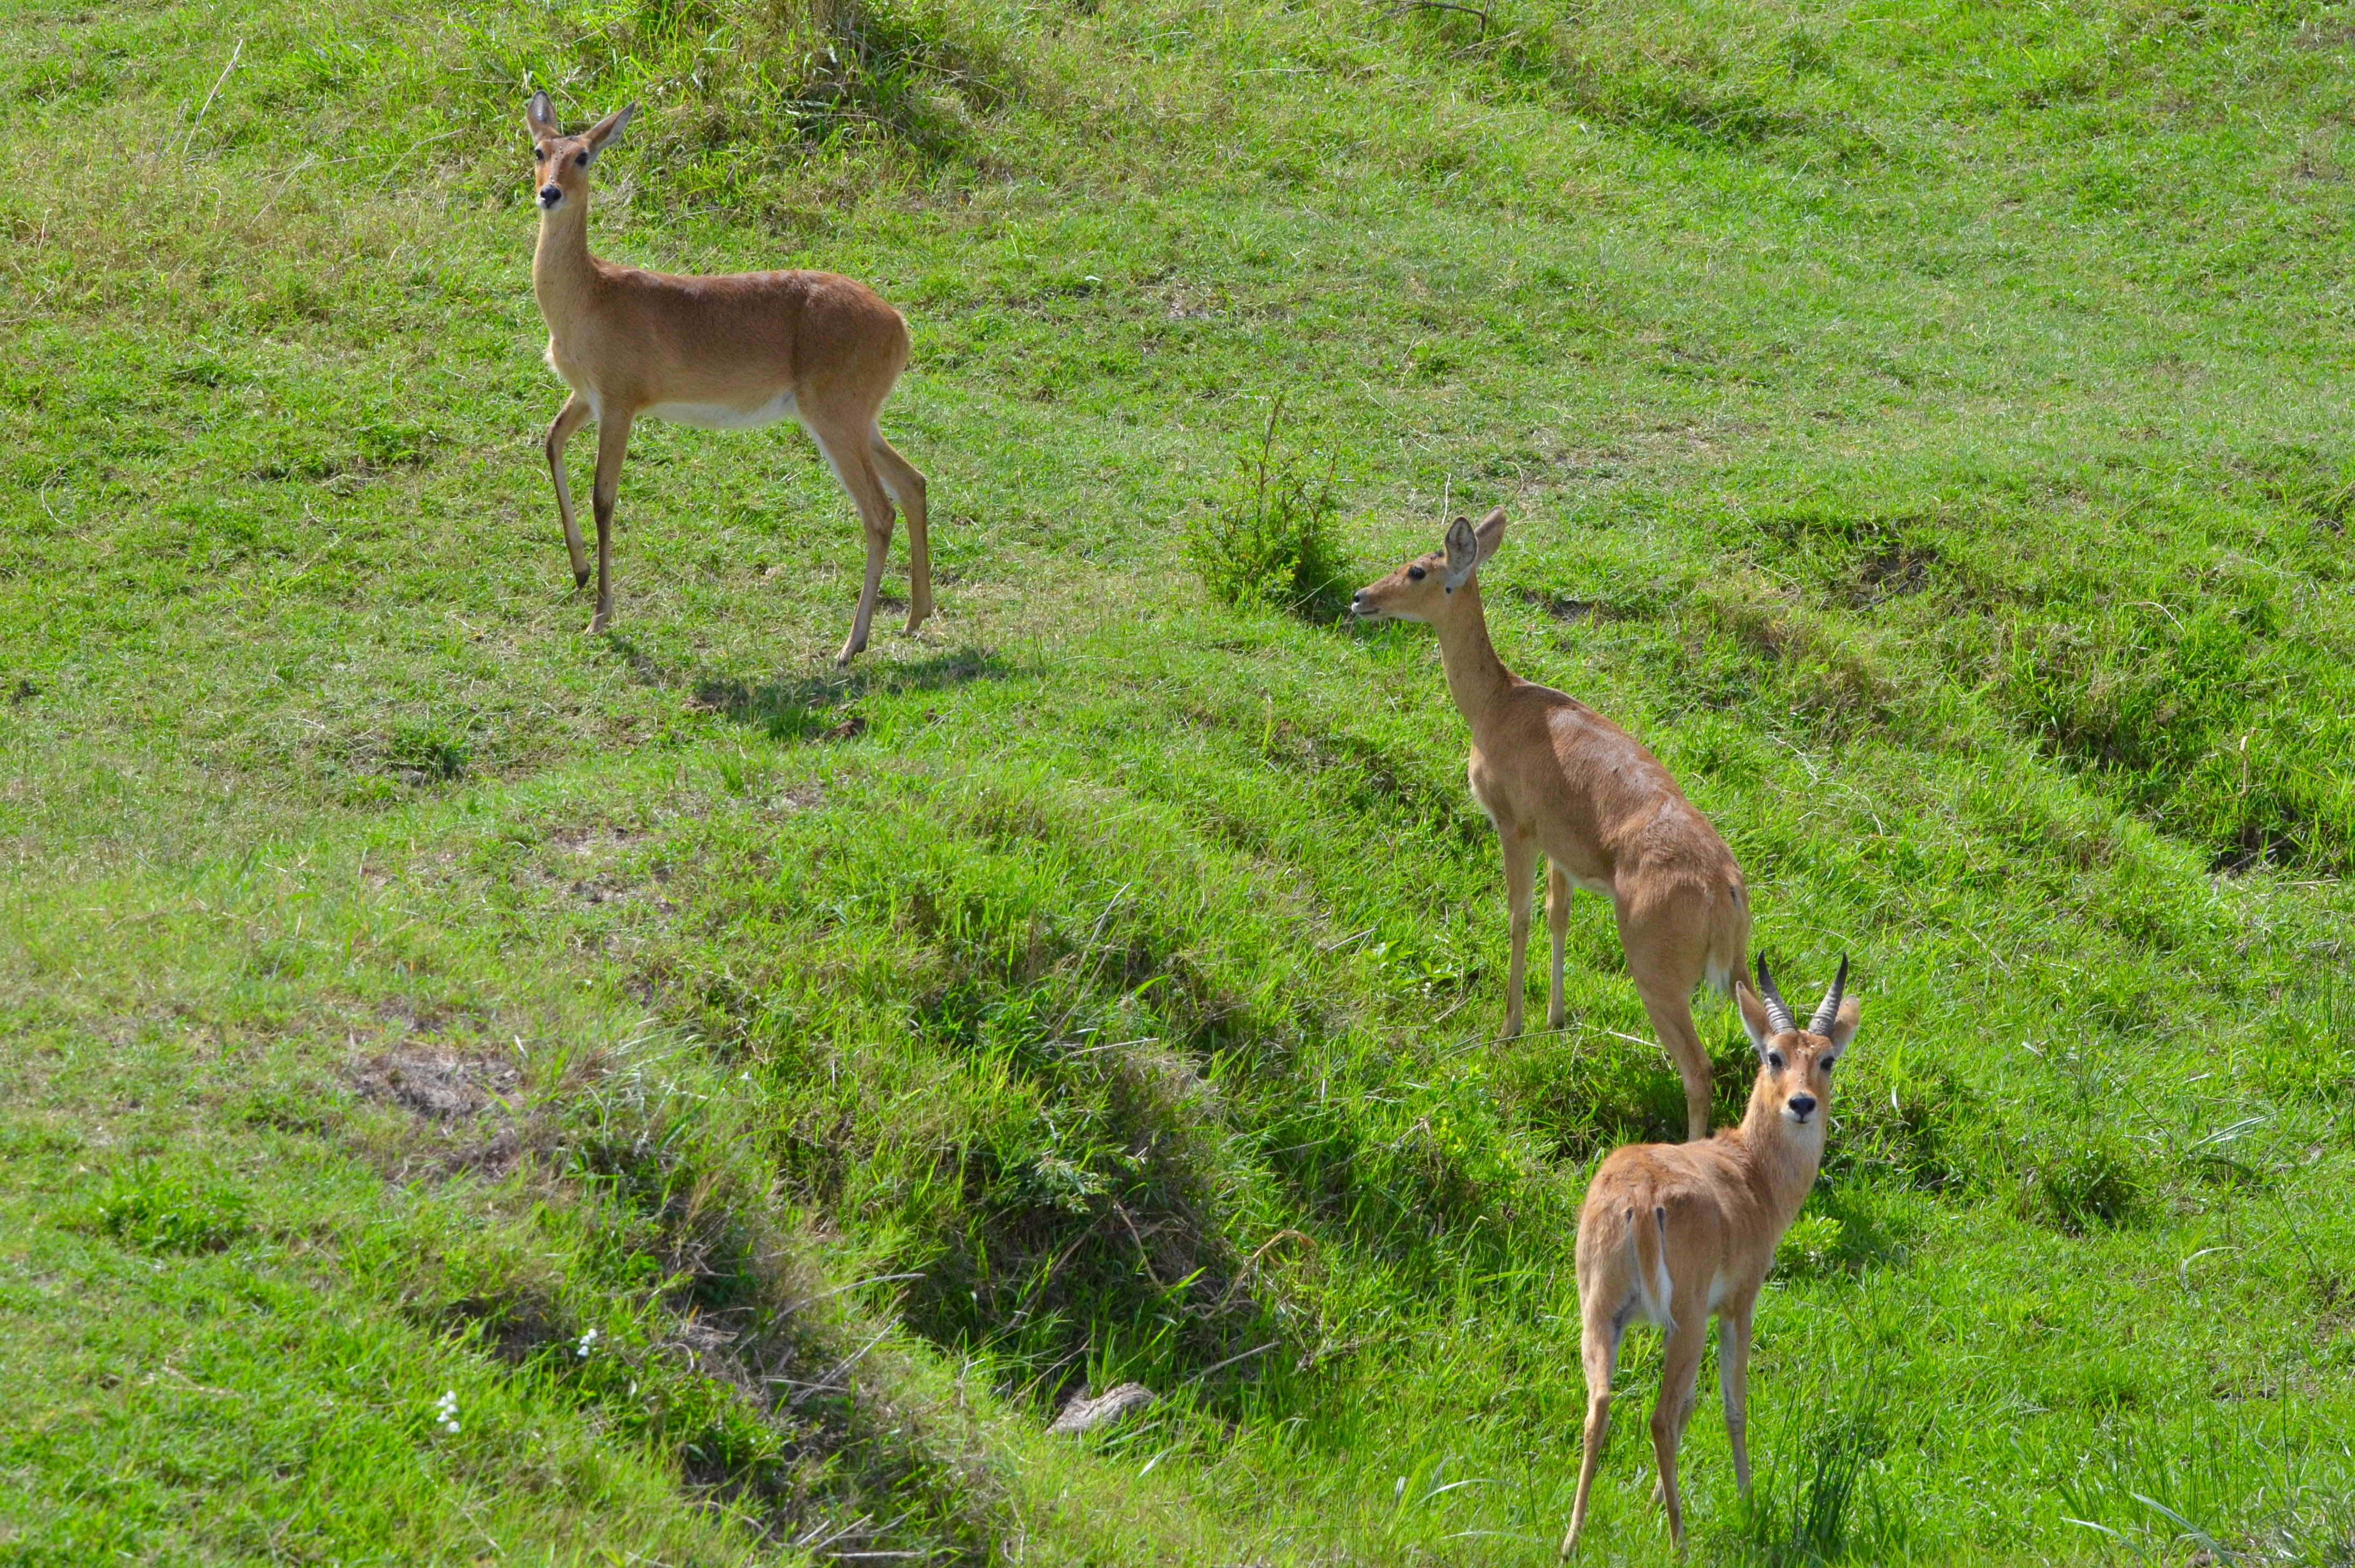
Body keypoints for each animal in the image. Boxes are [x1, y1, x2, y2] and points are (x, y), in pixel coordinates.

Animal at [529, 93, 932, 659]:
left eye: (584, 155)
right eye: (539, 150)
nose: (550, 192)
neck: (590, 295)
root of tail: (898, 322)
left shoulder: (619, 405)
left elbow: (604, 499)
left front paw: (601, 616)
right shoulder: (586, 398)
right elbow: (551, 443)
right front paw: (582, 572)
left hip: (835, 422)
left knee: (879, 512)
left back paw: (850, 646)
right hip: (860, 422)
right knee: (913, 483)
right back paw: (915, 618)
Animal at [1554, 951, 1865, 1553]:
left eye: (1827, 1059)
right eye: (1773, 1054)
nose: (1801, 1104)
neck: (1751, 1174)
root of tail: (1639, 1195)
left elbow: (1693, 1403)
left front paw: (1654, 1498)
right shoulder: (1738, 1306)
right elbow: (1732, 1404)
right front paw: (1747, 1502)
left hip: (1600, 1314)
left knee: (1598, 1407)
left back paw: (1571, 1540)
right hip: (1685, 1321)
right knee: (1657, 1416)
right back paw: (1679, 1541)